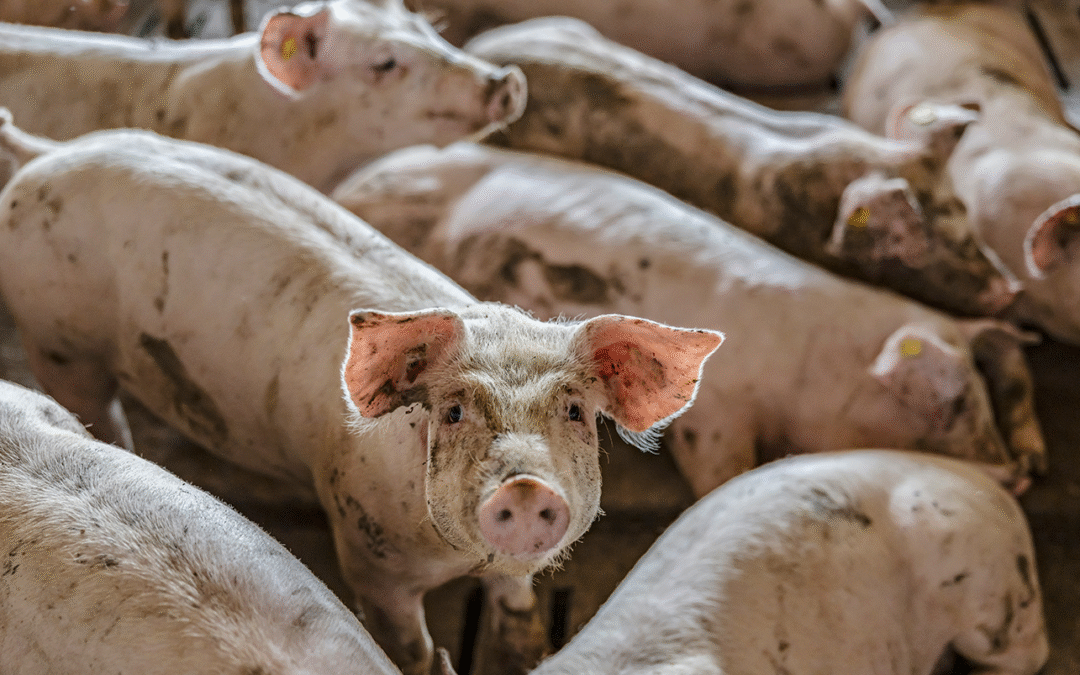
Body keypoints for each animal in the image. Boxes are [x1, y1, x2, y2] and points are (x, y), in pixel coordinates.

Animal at [332, 141, 1046, 497]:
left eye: (979, 395)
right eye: (951, 402)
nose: (1016, 474)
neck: (815, 372)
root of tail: (352, 183)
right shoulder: (716, 419)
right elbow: (720, 469)